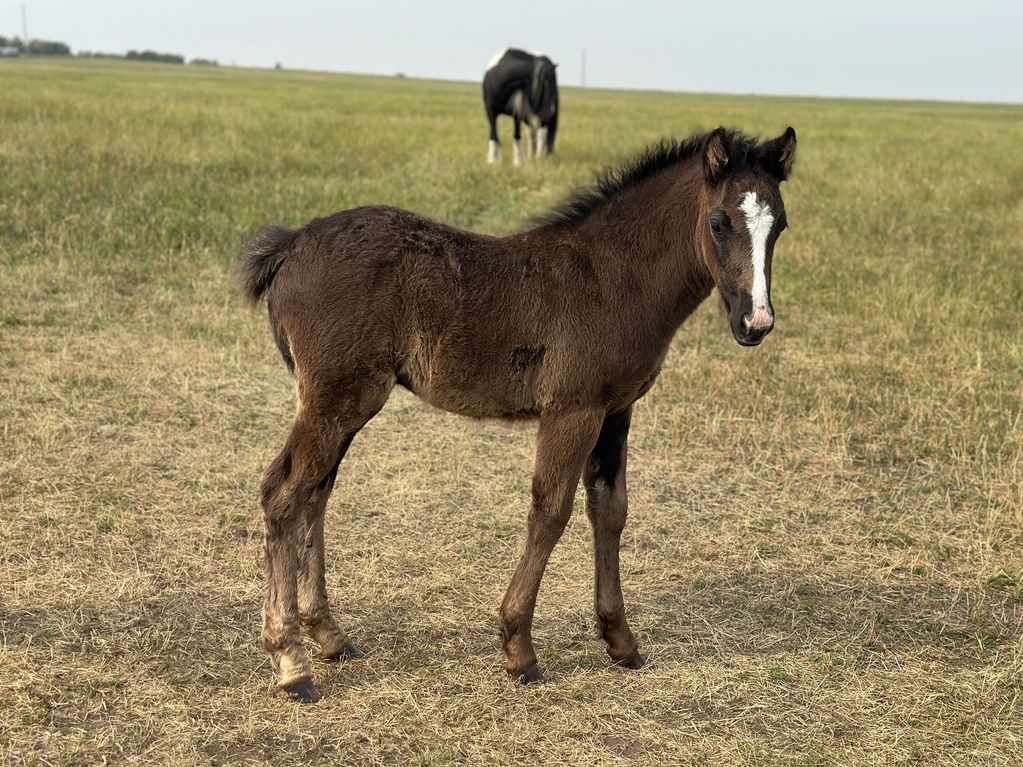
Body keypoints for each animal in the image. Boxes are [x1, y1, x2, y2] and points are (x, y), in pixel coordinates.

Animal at [241, 126, 797, 702]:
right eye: (719, 222)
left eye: (779, 225)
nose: (756, 323)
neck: (614, 276)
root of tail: (291, 245)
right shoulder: (572, 410)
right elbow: (551, 511)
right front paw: (519, 649)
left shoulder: (616, 409)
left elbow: (610, 510)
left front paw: (621, 642)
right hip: (338, 398)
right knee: (283, 493)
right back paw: (291, 662)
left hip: (342, 403)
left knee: (315, 494)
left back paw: (328, 635)